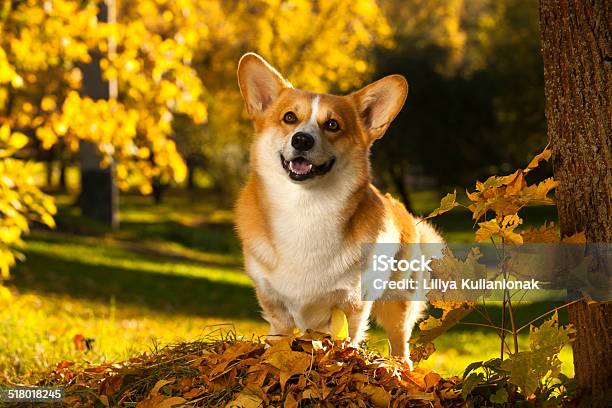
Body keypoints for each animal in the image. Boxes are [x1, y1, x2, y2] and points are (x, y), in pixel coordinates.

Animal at [237, 53, 442, 364]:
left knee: (400, 347)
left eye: (332, 125)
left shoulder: (350, 306)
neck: (305, 210)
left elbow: (343, 343)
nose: (302, 139)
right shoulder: (275, 307)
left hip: (397, 304)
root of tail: (402, 210)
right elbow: (278, 343)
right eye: (289, 117)